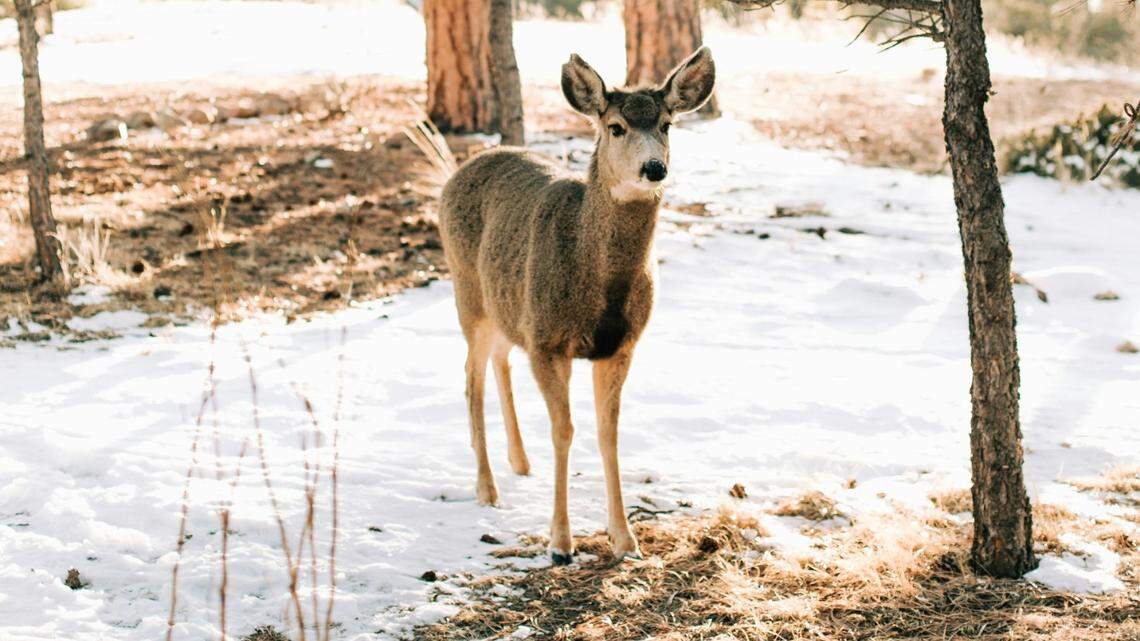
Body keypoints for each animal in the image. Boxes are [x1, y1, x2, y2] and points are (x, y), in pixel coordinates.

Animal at [438, 47, 715, 565]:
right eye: (615, 127)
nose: (654, 169)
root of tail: (459, 170)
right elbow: (564, 431)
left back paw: (520, 462)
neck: (600, 288)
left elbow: (609, 433)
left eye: (667, 124)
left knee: (501, 358)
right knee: (470, 376)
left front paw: (626, 541)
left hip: (510, 307)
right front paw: (560, 543)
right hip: (468, 291)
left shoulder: (620, 345)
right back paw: (487, 488)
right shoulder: (549, 341)